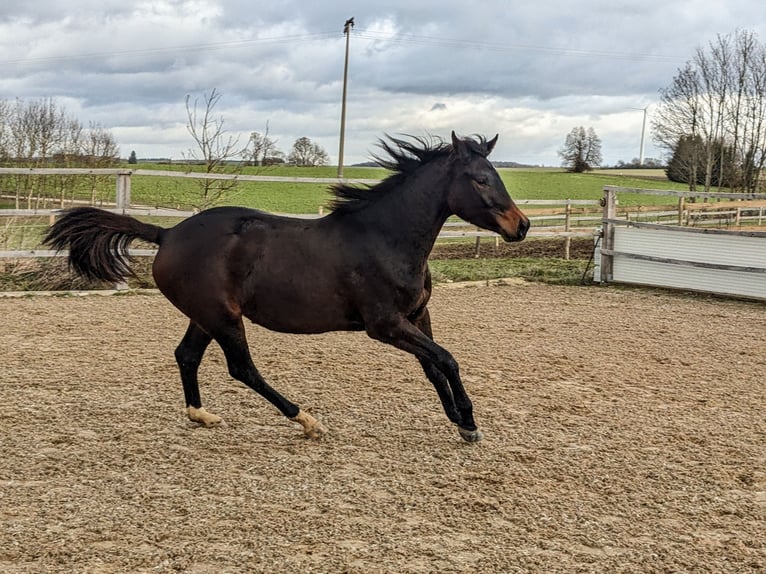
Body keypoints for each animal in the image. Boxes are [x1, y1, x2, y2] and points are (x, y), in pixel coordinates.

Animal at [43, 132, 530, 442]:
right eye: (481, 179)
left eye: (497, 175)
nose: (521, 226)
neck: (385, 238)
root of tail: (167, 233)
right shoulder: (386, 325)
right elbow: (447, 359)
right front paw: (469, 422)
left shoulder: (417, 315)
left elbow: (434, 365)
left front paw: (459, 421)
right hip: (223, 317)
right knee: (242, 368)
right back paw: (307, 421)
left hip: (205, 315)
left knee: (186, 355)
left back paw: (202, 416)